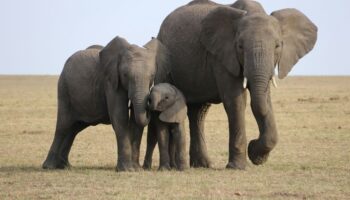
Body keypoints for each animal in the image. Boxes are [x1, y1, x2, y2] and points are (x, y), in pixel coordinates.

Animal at [42, 35, 171, 170]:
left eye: (152, 76)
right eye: (125, 75)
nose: (150, 104)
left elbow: (135, 121)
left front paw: (136, 169)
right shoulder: (110, 81)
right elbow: (120, 116)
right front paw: (127, 169)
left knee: (73, 129)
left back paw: (64, 166)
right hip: (64, 89)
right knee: (63, 126)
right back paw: (49, 166)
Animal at [156, 0, 318, 169]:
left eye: (277, 46)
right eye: (240, 46)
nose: (253, 145)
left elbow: (265, 100)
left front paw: (257, 157)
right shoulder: (222, 57)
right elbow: (236, 101)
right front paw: (239, 165)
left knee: (198, 112)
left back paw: (202, 165)